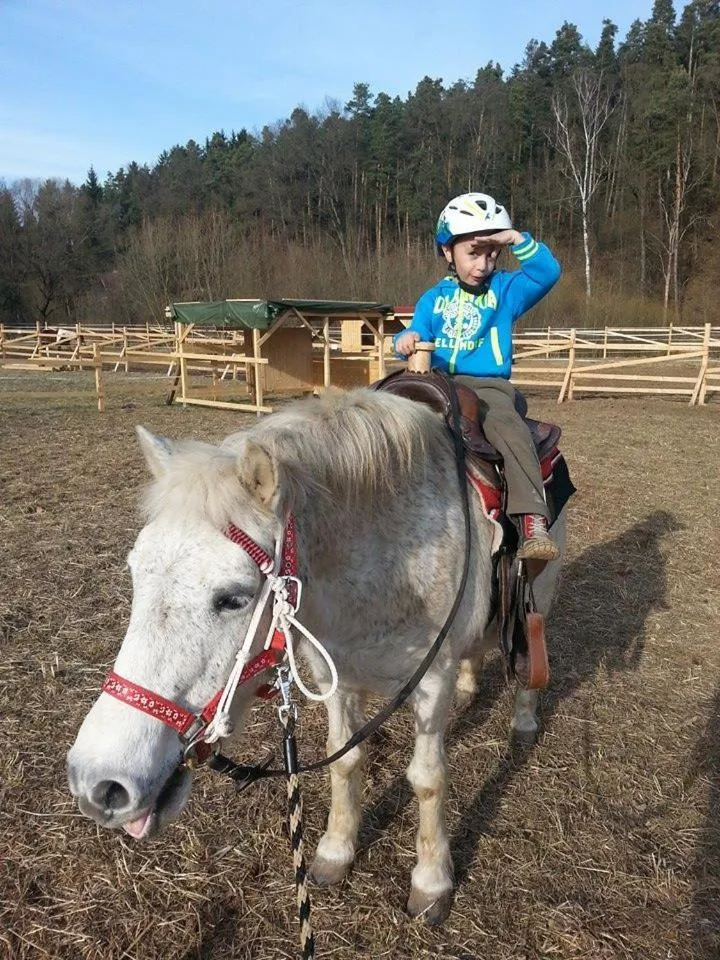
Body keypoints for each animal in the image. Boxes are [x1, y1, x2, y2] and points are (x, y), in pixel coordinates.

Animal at [67, 387, 566, 924]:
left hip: (540, 595)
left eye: (233, 598)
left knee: (529, 664)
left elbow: (429, 780)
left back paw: (524, 723)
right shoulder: (337, 676)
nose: (99, 783)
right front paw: (334, 851)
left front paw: (432, 882)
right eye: (135, 573)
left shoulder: (432, 681)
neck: (383, 562)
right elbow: (344, 761)